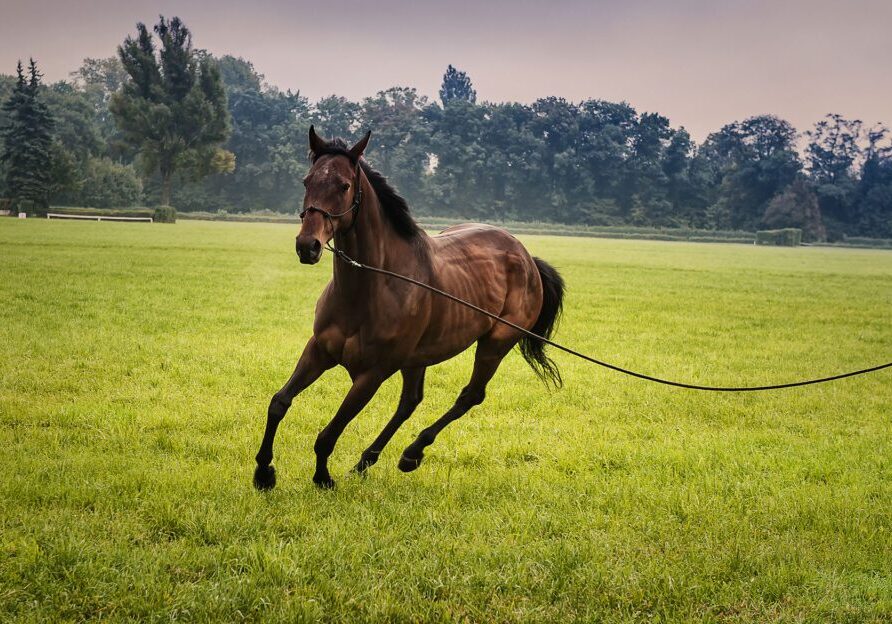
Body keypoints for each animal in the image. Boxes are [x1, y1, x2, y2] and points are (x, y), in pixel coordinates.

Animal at [253, 126, 565, 489]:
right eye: (307, 181)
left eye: (343, 185)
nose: (308, 245)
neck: (370, 288)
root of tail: (527, 258)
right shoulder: (319, 351)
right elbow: (279, 402)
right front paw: (263, 471)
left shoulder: (372, 374)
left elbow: (330, 433)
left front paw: (322, 478)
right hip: (419, 357)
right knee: (410, 402)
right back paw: (366, 461)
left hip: (494, 345)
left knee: (470, 395)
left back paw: (412, 453)